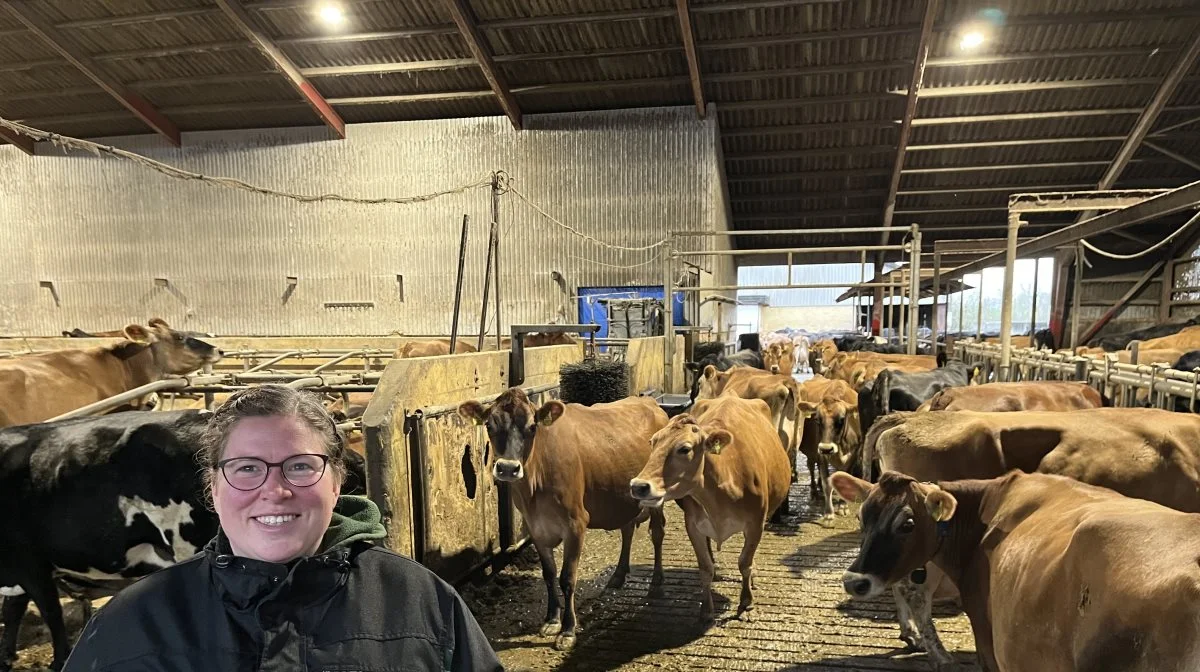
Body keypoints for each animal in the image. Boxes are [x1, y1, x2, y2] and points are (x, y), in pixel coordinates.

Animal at [456, 391, 672, 648]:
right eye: (489, 425)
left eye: (532, 427)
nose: (507, 468)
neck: (534, 488)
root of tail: (649, 402)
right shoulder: (536, 528)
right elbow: (549, 574)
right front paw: (551, 620)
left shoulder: (576, 524)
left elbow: (567, 578)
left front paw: (568, 630)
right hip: (624, 498)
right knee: (627, 529)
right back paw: (618, 575)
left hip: (656, 498)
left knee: (657, 532)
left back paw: (657, 583)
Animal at [633, 396, 792, 624]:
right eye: (652, 443)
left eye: (684, 449)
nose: (638, 486)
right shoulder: (693, 525)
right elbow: (705, 568)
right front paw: (707, 610)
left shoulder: (756, 523)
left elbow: (745, 562)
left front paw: (746, 602)